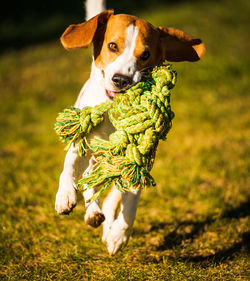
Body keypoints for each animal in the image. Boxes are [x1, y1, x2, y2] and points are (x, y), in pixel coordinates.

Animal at [55, 0, 205, 254]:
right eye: (112, 46)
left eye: (145, 55)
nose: (121, 80)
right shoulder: (82, 144)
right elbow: (70, 167)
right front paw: (65, 195)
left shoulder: (137, 160)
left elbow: (130, 201)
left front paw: (118, 235)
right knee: (88, 179)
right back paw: (92, 211)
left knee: (109, 195)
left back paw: (103, 220)